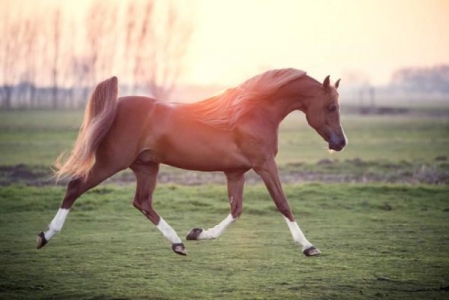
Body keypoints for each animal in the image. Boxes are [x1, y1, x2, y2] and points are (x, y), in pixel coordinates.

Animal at [36, 68, 348, 255]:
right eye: (331, 107)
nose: (341, 143)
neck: (251, 113)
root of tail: (117, 104)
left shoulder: (236, 172)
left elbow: (236, 210)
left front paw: (198, 234)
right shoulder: (265, 165)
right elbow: (283, 203)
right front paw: (308, 246)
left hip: (146, 166)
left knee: (142, 202)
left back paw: (177, 243)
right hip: (111, 162)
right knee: (75, 187)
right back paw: (45, 235)